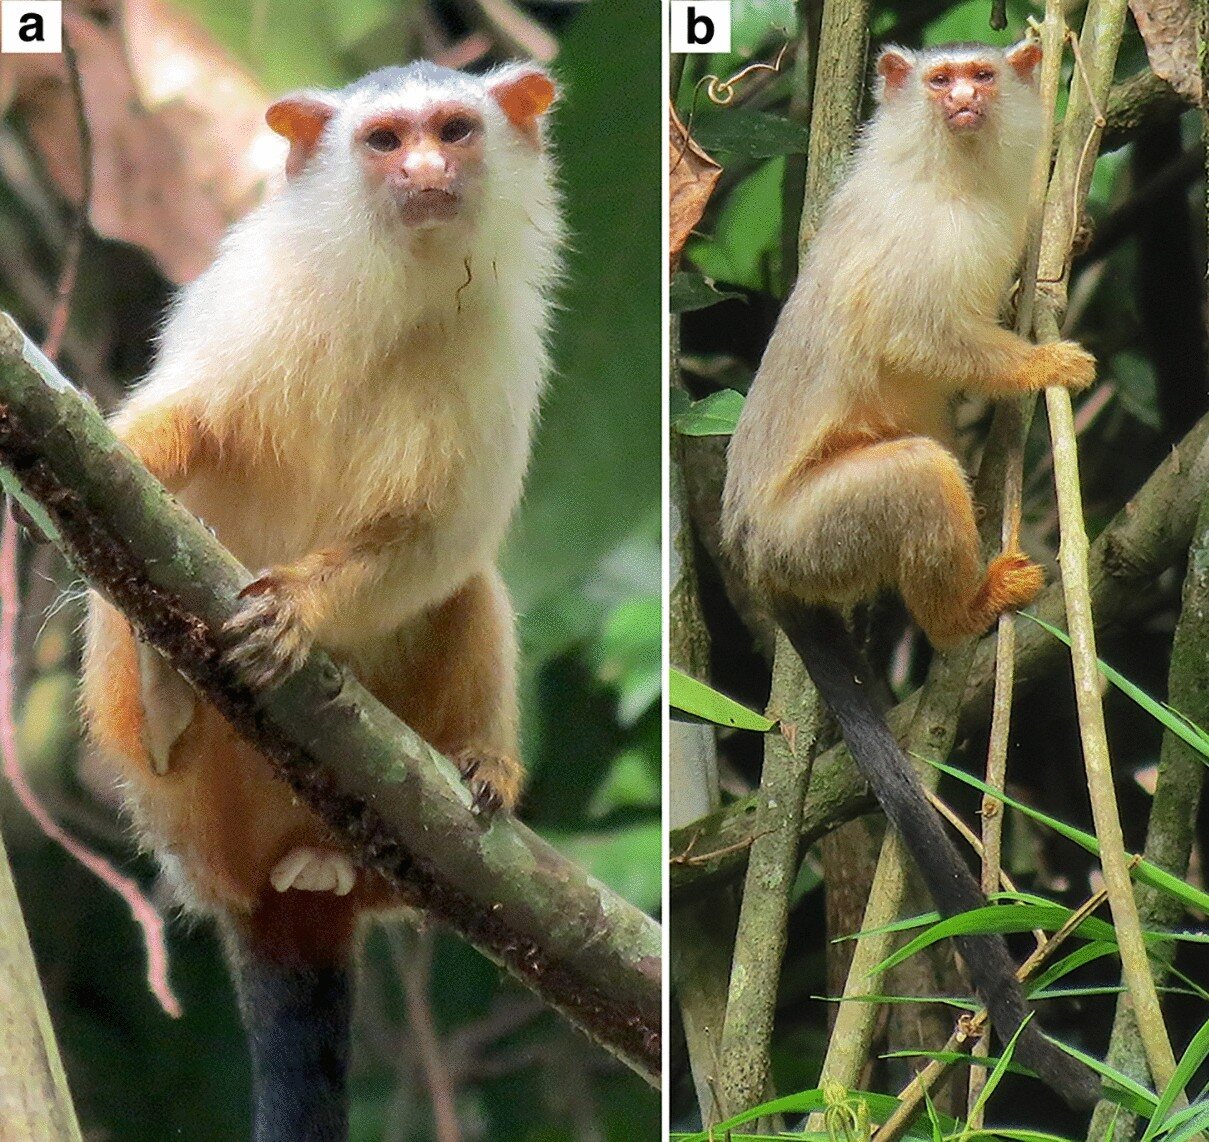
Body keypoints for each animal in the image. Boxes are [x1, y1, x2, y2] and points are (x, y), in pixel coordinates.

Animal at [79, 60, 561, 1141]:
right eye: (386, 141)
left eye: (454, 131)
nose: (425, 172)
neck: (392, 291)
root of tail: (265, 884)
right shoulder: (249, 297)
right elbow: (178, 424)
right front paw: (130, 453)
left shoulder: (499, 349)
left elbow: (439, 542)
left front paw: (300, 613)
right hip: (178, 800)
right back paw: (164, 699)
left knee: (471, 592)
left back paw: (477, 766)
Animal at [720, 41, 1101, 1109]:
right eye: (939, 82)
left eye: (981, 74)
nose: (965, 100)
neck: (957, 177)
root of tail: (747, 555)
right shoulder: (916, 249)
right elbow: (923, 335)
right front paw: (1041, 364)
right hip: (816, 532)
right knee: (922, 472)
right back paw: (962, 612)